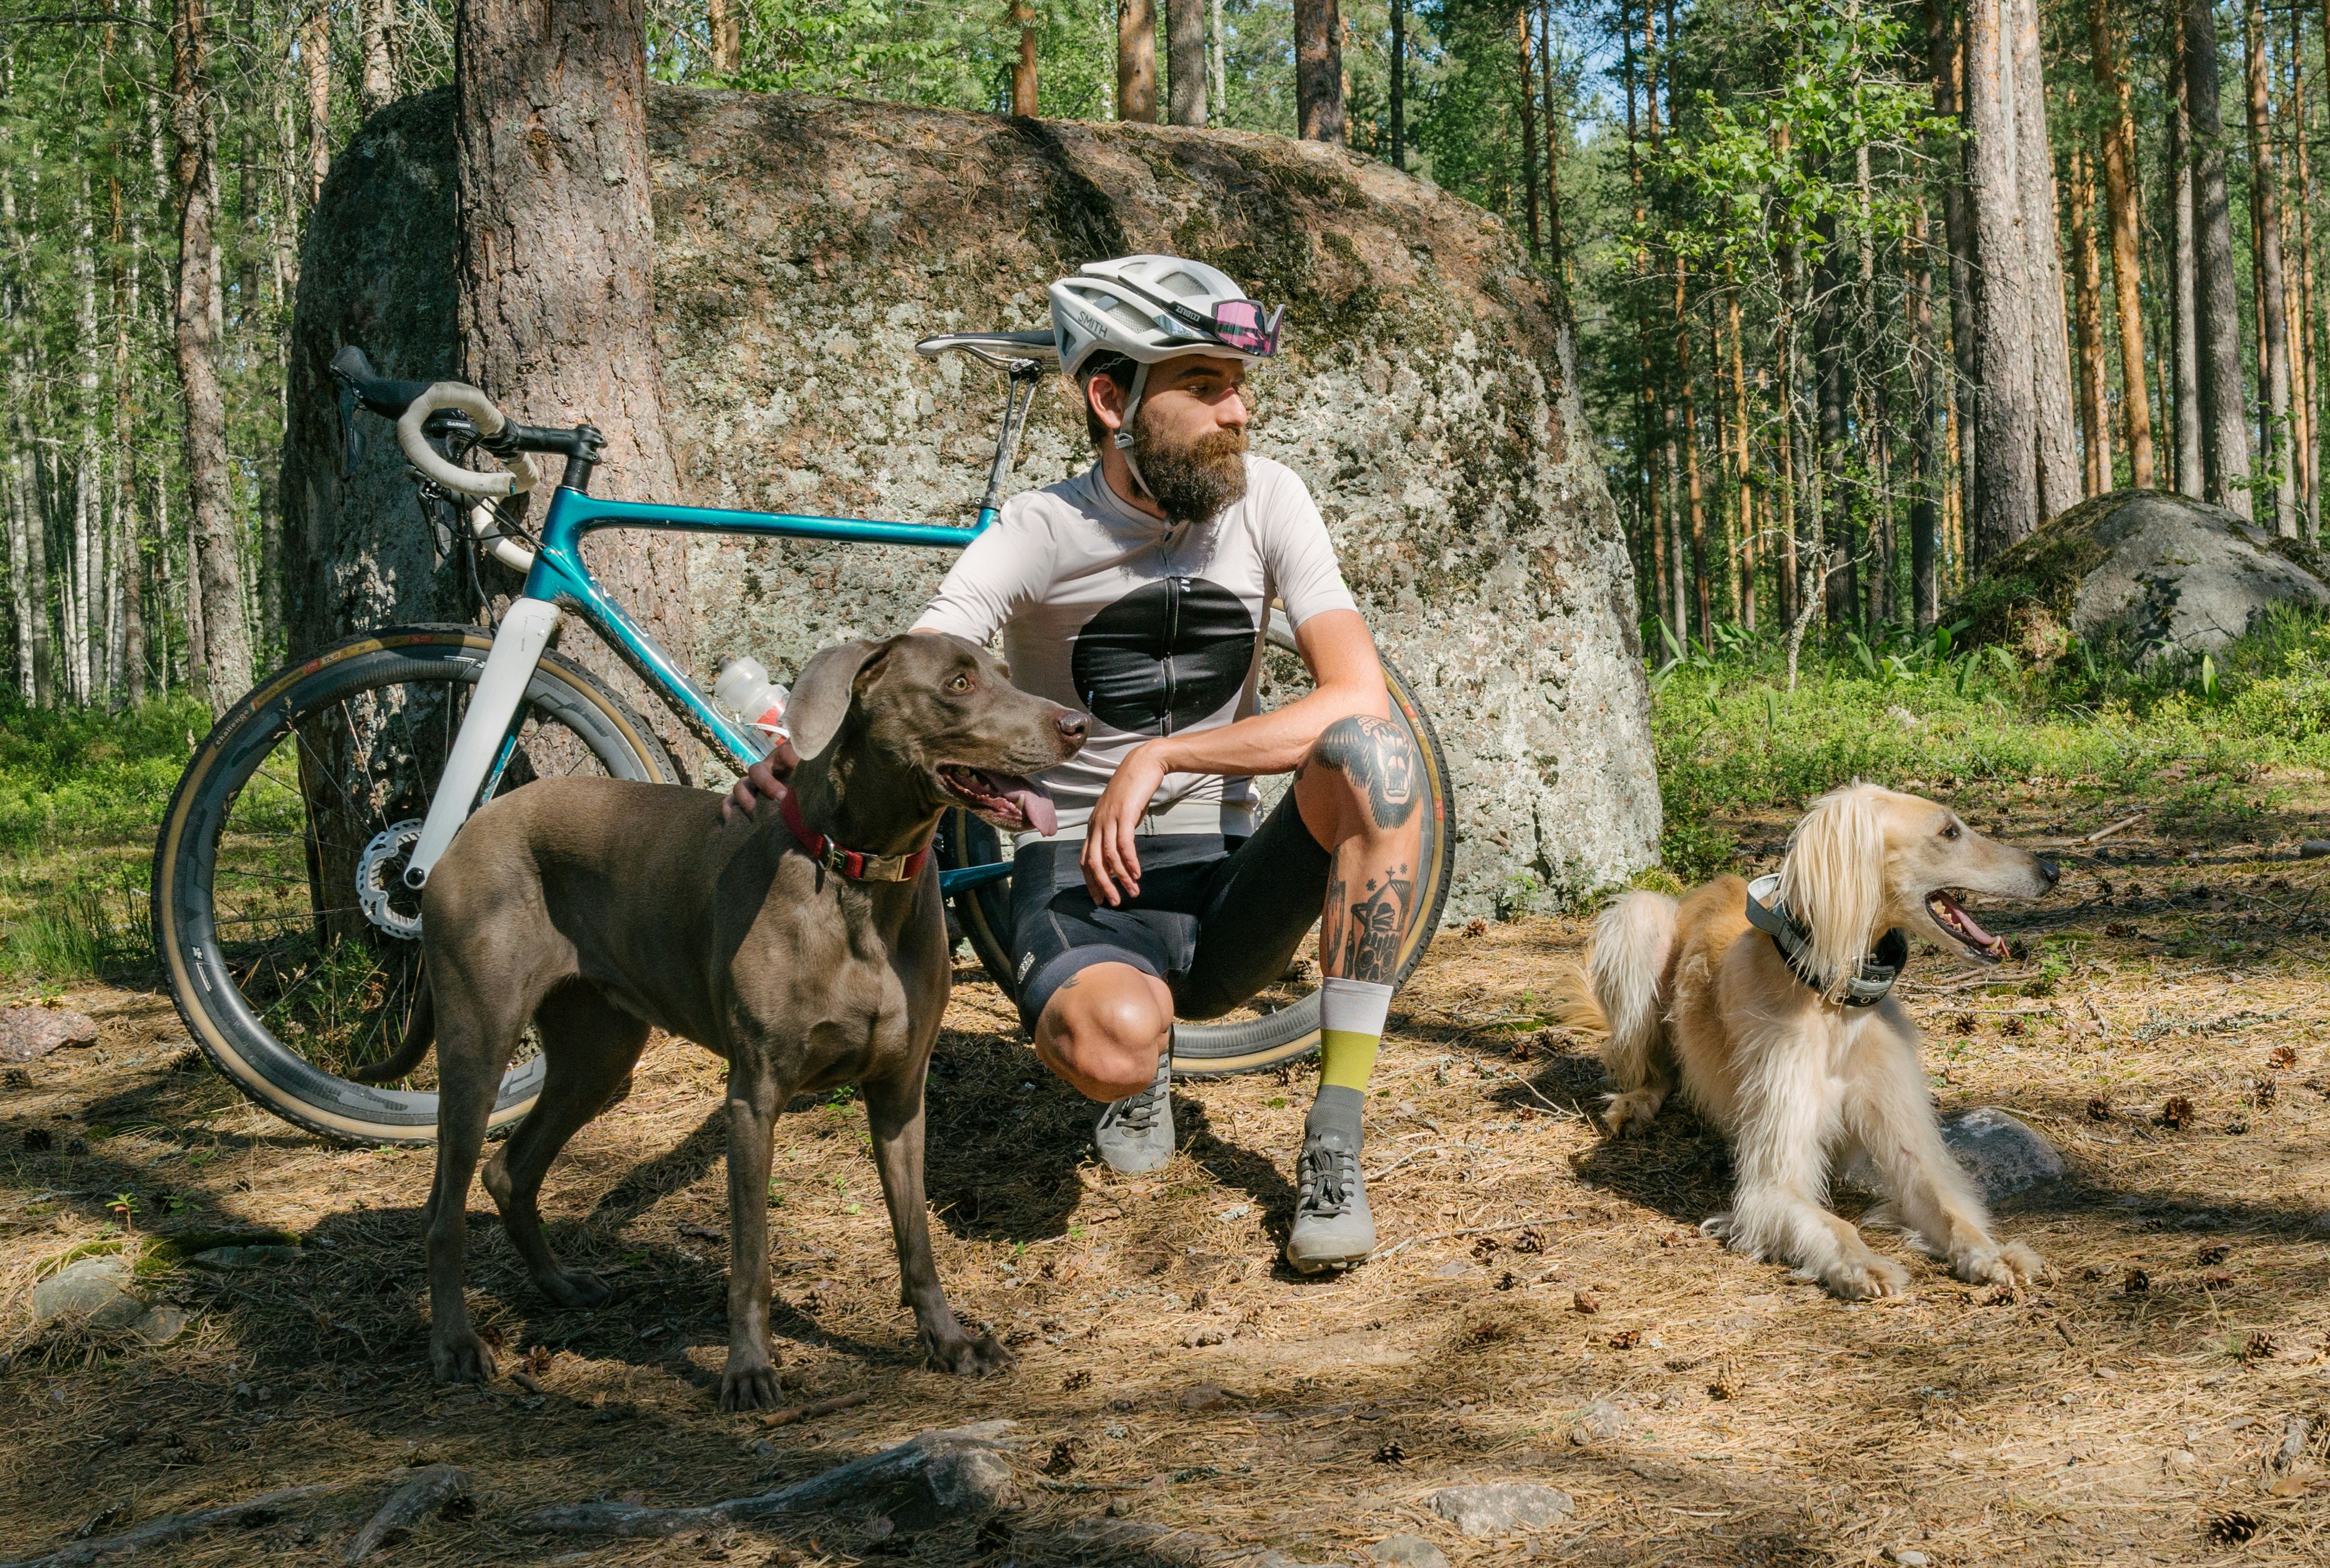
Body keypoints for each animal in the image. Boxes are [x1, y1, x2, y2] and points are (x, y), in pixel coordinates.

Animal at [359, 629, 1085, 1397]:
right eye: (958, 684)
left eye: (1003, 672)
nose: (1076, 724)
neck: (860, 879)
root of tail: (457, 836)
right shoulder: (754, 1098)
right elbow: (751, 1260)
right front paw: (748, 1368)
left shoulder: (899, 1094)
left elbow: (917, 1243)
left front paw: (952, 1344)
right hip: (479, 1038)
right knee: (444, 1208)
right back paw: (455, 1344)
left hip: (599, 1051)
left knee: (511, 1170)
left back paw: (562, 1285)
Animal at [1565, 783, 2059, 1295]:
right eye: (1949, 831)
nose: (2052, 871)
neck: (1833, 1003)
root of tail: (1710, 886)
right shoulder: (1774, 1181)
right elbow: (1834, 1225)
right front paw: (1861, 1264)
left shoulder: (1911, 1151)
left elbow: (1950, 1211)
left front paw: (1993, 1254)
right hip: (1639, 918)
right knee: (1654, 1065)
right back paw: (1635, 1102)